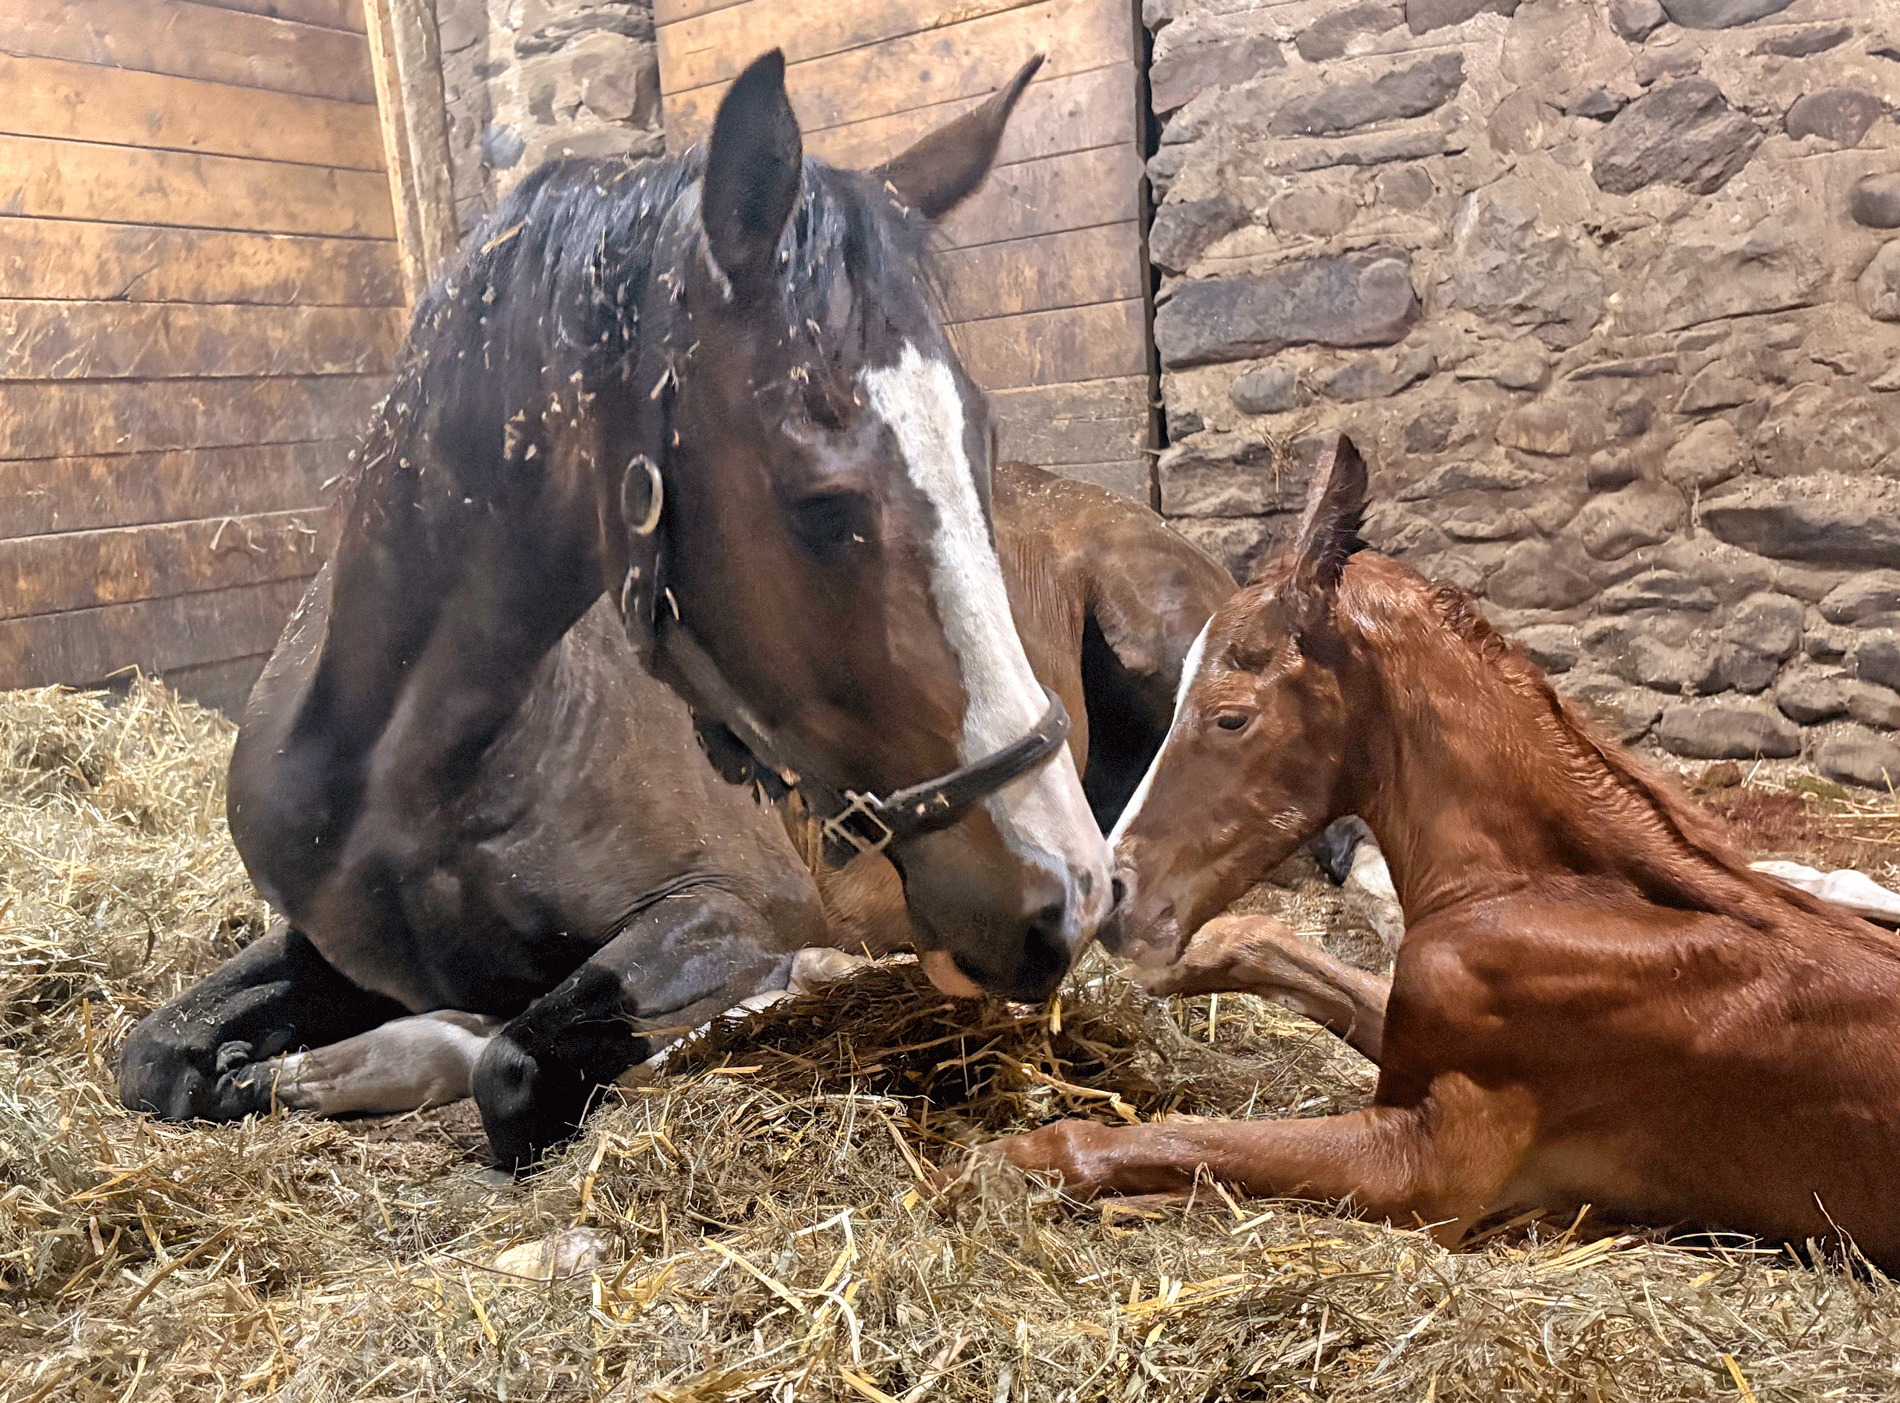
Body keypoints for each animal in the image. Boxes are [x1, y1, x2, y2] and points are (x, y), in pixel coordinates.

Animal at [117, 51, 1124, 1169]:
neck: (410, 776)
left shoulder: (726, 908)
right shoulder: (323, 946)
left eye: (983, 443)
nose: (1066, 888)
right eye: (819, 505)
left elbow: (511, 1057)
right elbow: (153, 1054)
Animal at [992, 436, 1900, 1271]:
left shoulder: (1432, 1164)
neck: (1544, 890)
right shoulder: (1408, 1031)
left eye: (1230, 715)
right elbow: (1263, 943)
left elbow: (1155, 1138)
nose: (1118, 894)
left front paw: (1012, 1157)